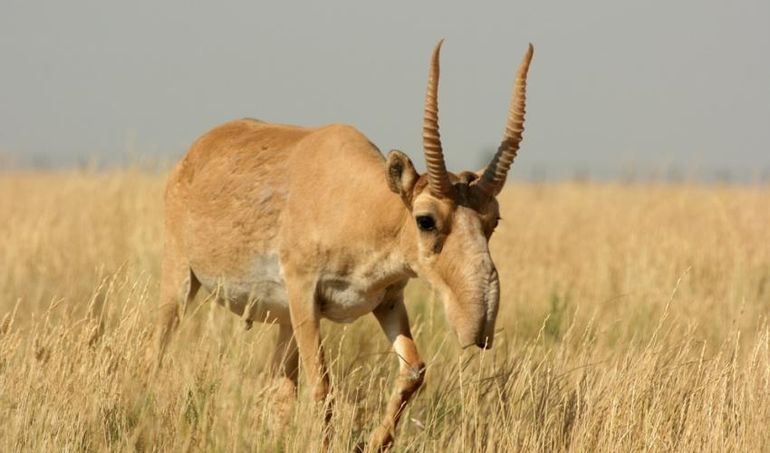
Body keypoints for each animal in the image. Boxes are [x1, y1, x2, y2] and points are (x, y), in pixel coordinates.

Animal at [156, 41, 528, 448]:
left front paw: (376, 442)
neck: (360, 205)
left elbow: (414, 370)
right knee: (158, 347)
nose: (478, 326)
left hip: (284, 321)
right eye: (426, 219)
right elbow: (322, 385)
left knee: (279, 387)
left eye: (493, 220)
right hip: (181, 280)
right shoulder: (304, 296)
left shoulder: (387, 301)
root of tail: (196, 152)